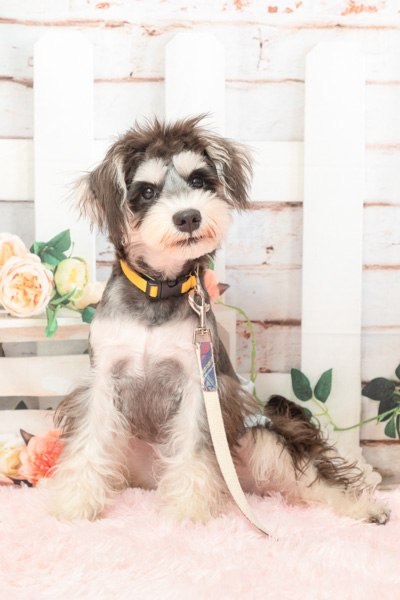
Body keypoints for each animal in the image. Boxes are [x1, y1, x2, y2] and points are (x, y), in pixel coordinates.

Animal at [49, 116, 390, 526]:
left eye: (198, 180)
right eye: (146, 191)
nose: (188, 216)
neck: (158, 291)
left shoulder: (200, 383)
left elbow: (194, 450)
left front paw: (188, 510)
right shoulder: (103, 378)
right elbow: (88, 442)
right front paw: (75, 504)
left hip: (263, 436)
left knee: (312, 478)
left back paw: (364, 508)